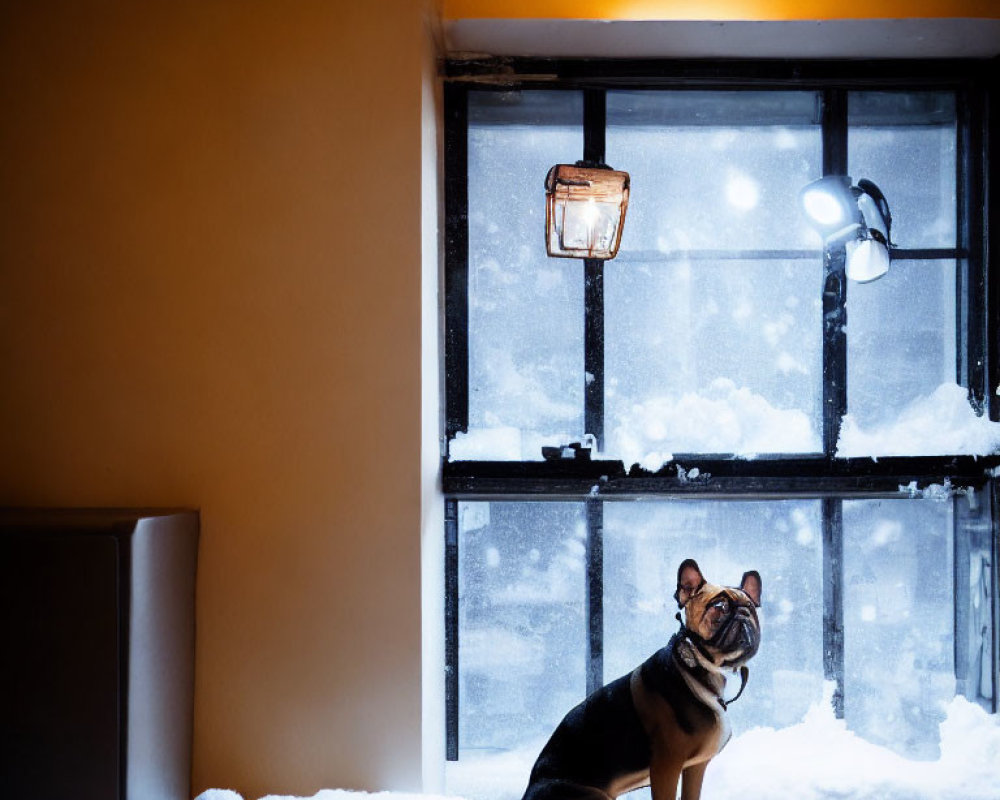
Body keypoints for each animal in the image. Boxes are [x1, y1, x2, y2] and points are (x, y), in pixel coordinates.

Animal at [520, 556, 760, 800]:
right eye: (719, 607)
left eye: (751, 608)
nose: (743, 614)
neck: (697, 664)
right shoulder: (666, 766)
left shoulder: (695, 767)